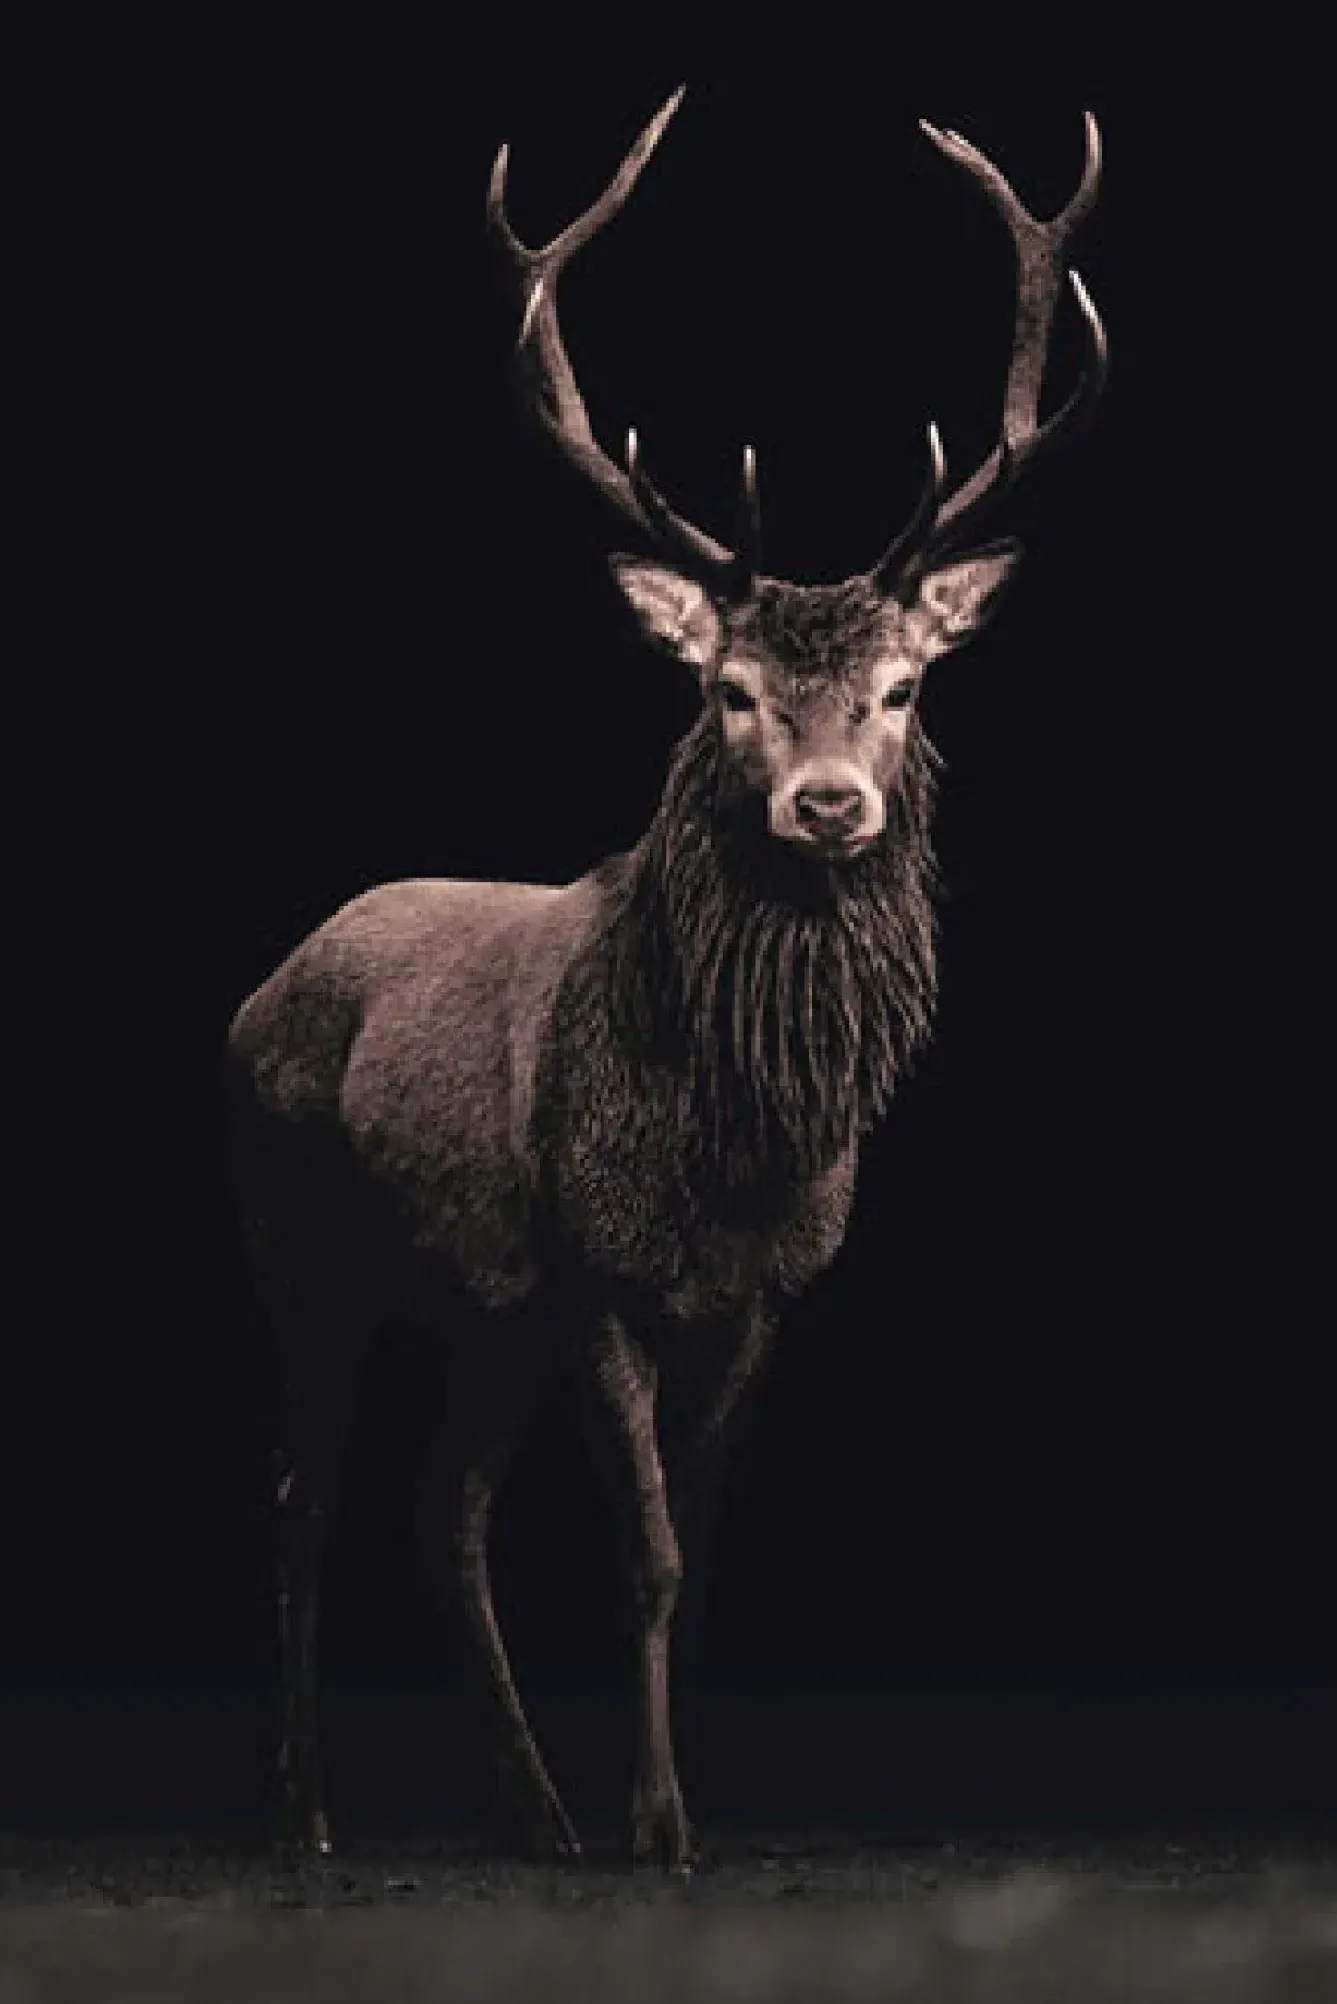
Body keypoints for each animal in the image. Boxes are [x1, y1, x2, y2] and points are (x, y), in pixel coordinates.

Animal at [225, 86, 1106, 1875]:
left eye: (901, 687)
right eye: (731, 690)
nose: (827, 805)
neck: (732, 1147)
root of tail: (259, 990)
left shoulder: (752, 1297)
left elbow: (694, 1562)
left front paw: (662, 1798)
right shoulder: (600, 1272)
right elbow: (643, 1551)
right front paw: (662, 1821)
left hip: (480, 1304)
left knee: (442, 1510)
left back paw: (533, 1809)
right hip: (303, 1238)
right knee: (306, 1501)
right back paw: (310, 1813)